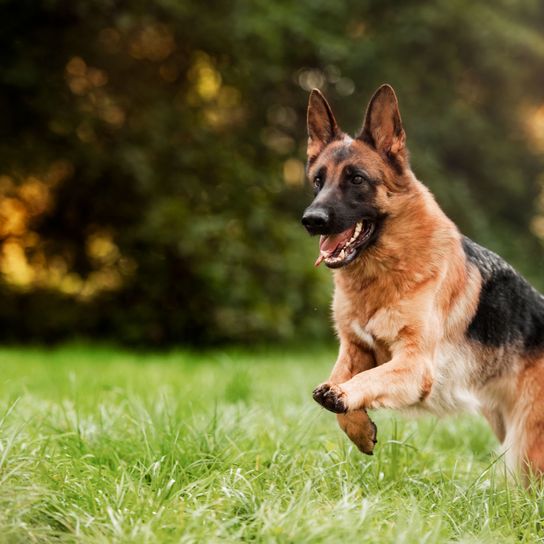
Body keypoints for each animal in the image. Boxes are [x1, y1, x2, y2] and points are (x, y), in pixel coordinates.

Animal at [302, 84, 544, 480]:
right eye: (318, 181)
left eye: (357, 179)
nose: (311, 220)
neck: (384, 274)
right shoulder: (355, 348)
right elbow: (337, 379)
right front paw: (357, 426)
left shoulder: (415, 365)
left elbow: (366, 380)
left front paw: (345, 397)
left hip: (527, 450)